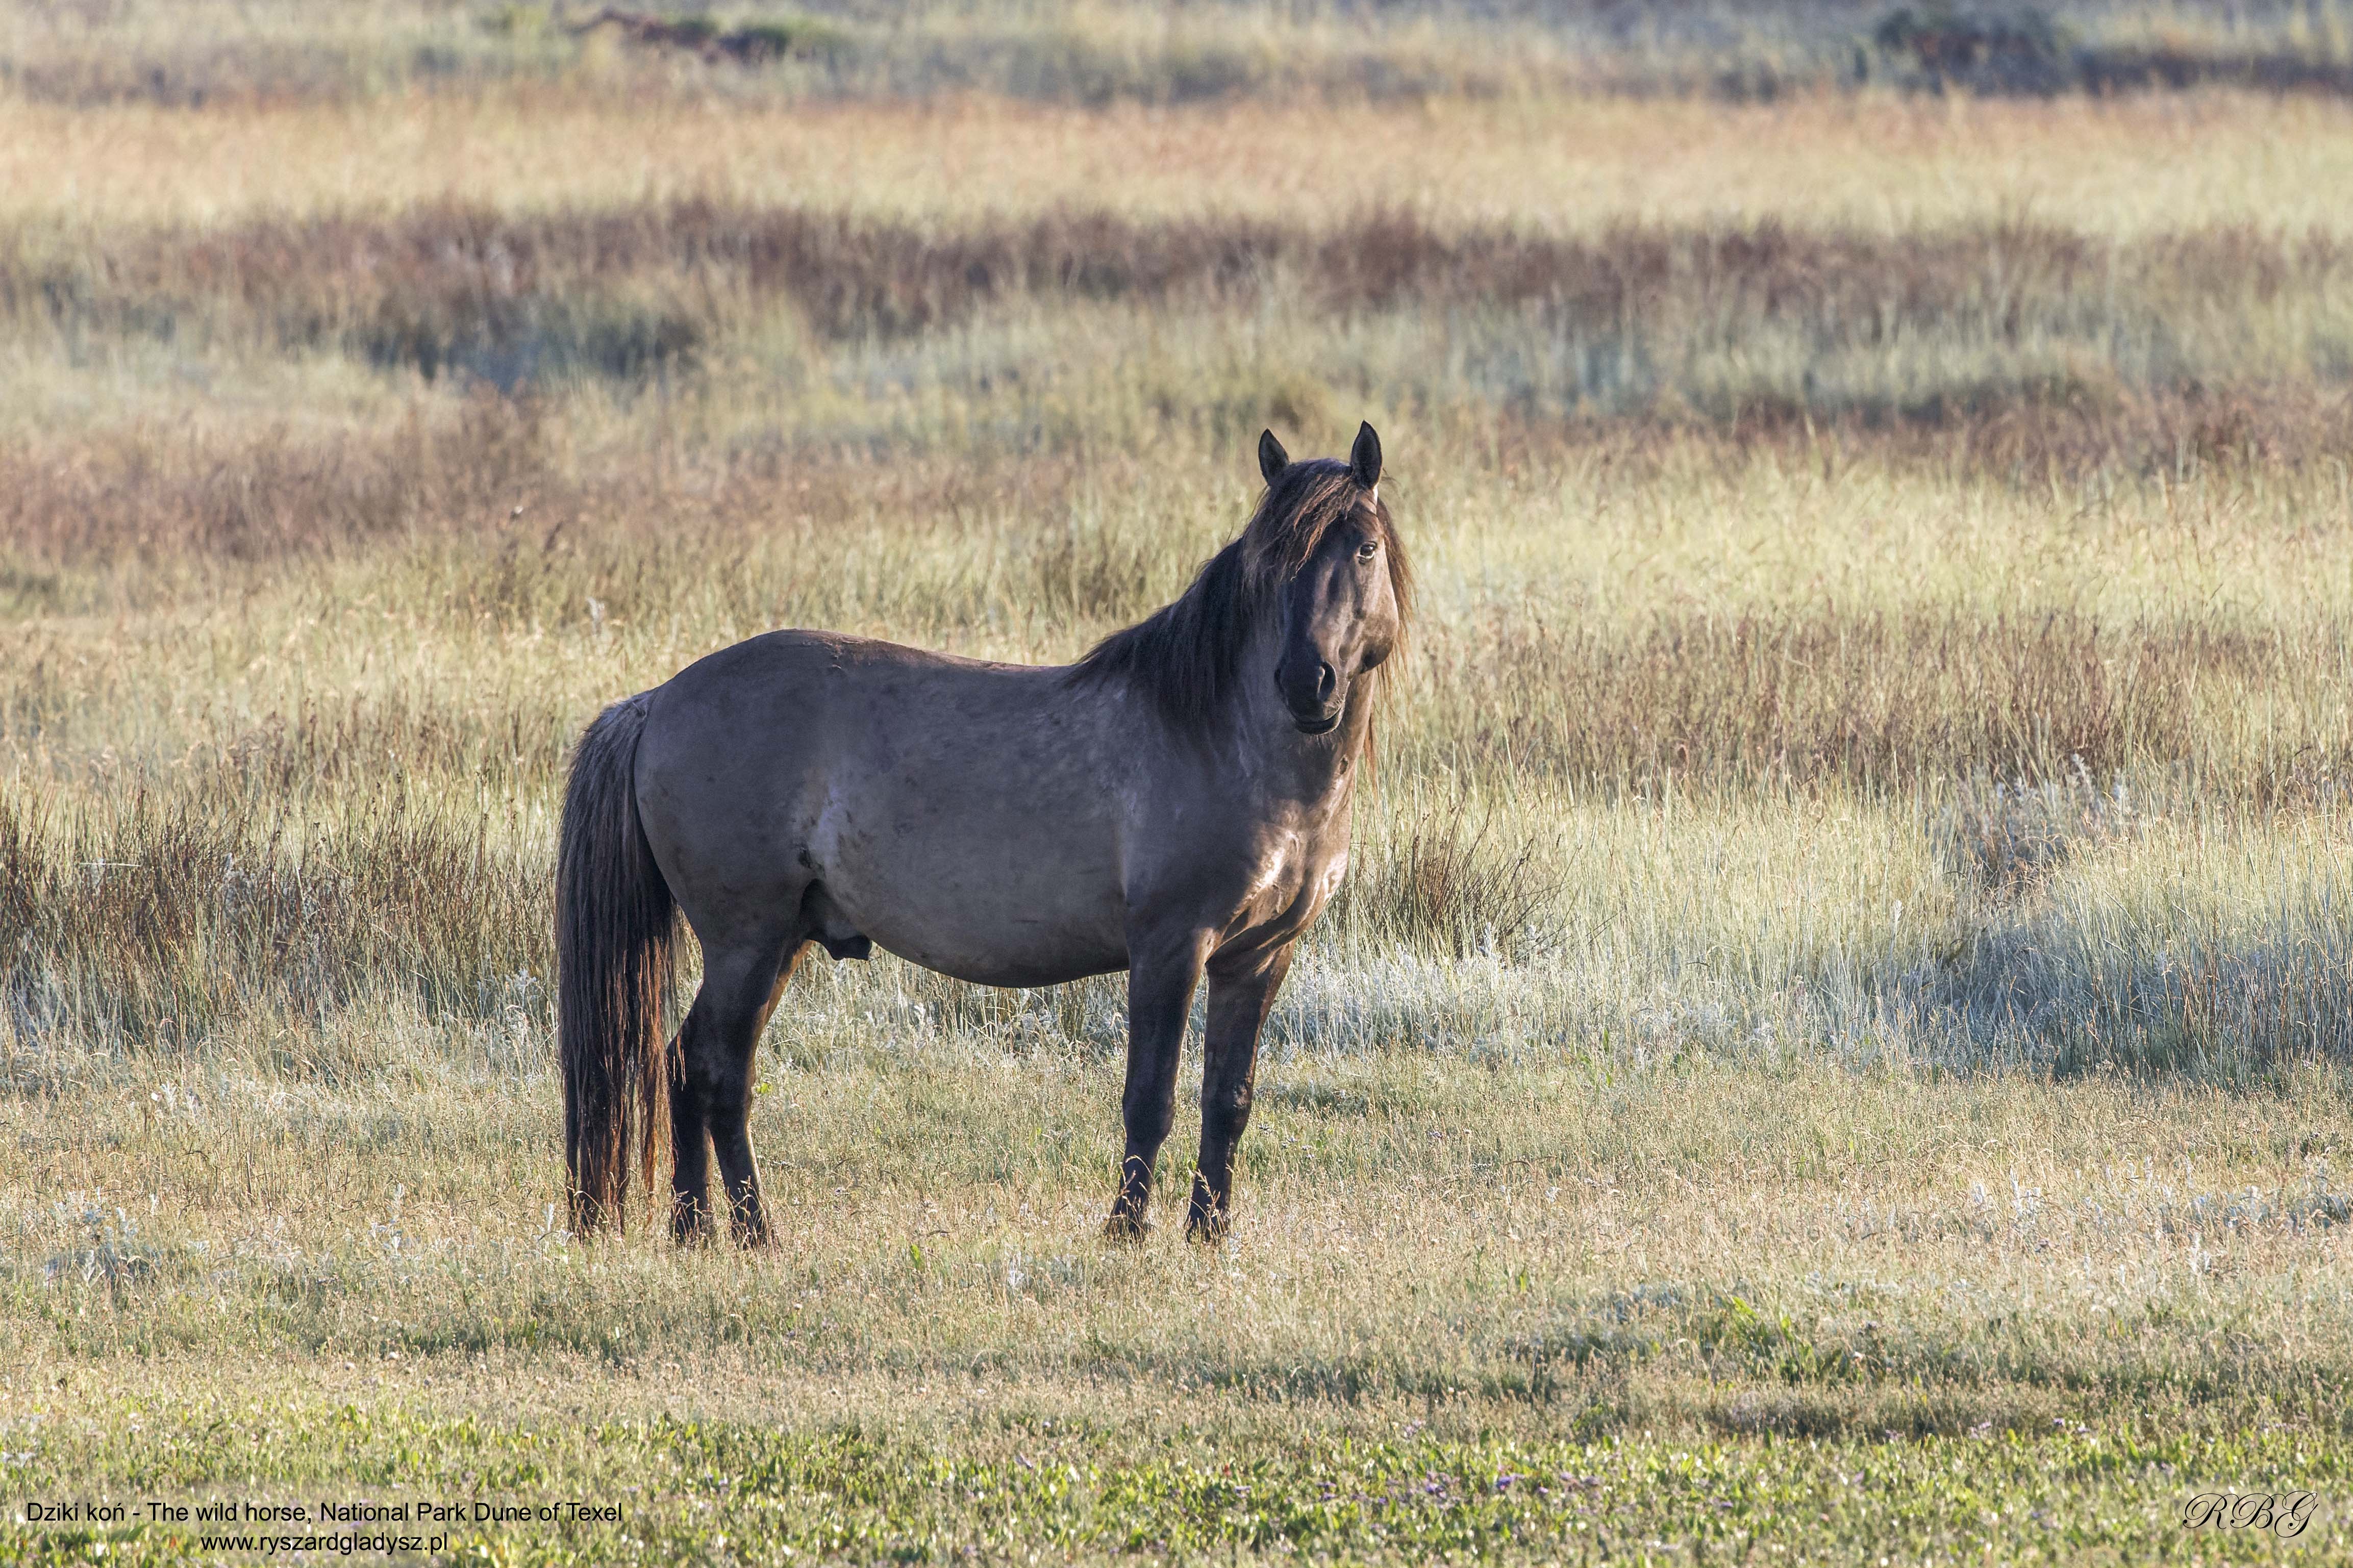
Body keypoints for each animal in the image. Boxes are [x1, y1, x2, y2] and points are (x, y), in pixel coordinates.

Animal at [556, 422, 1411, 1244]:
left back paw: (695, 1229)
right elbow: (1151, 1099)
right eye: (1272, 561)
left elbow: (1228, 1101)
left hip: (780, 942)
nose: (1306, 685)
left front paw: (1209, 1234)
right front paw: (1126, 1234)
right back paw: (752, 1230)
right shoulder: (1171, 946)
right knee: (715, 1070)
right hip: (746, 941)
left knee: (685, 1064)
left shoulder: (1259, 956)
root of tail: (658, 700)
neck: (1224, 741)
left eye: (1363, 547)